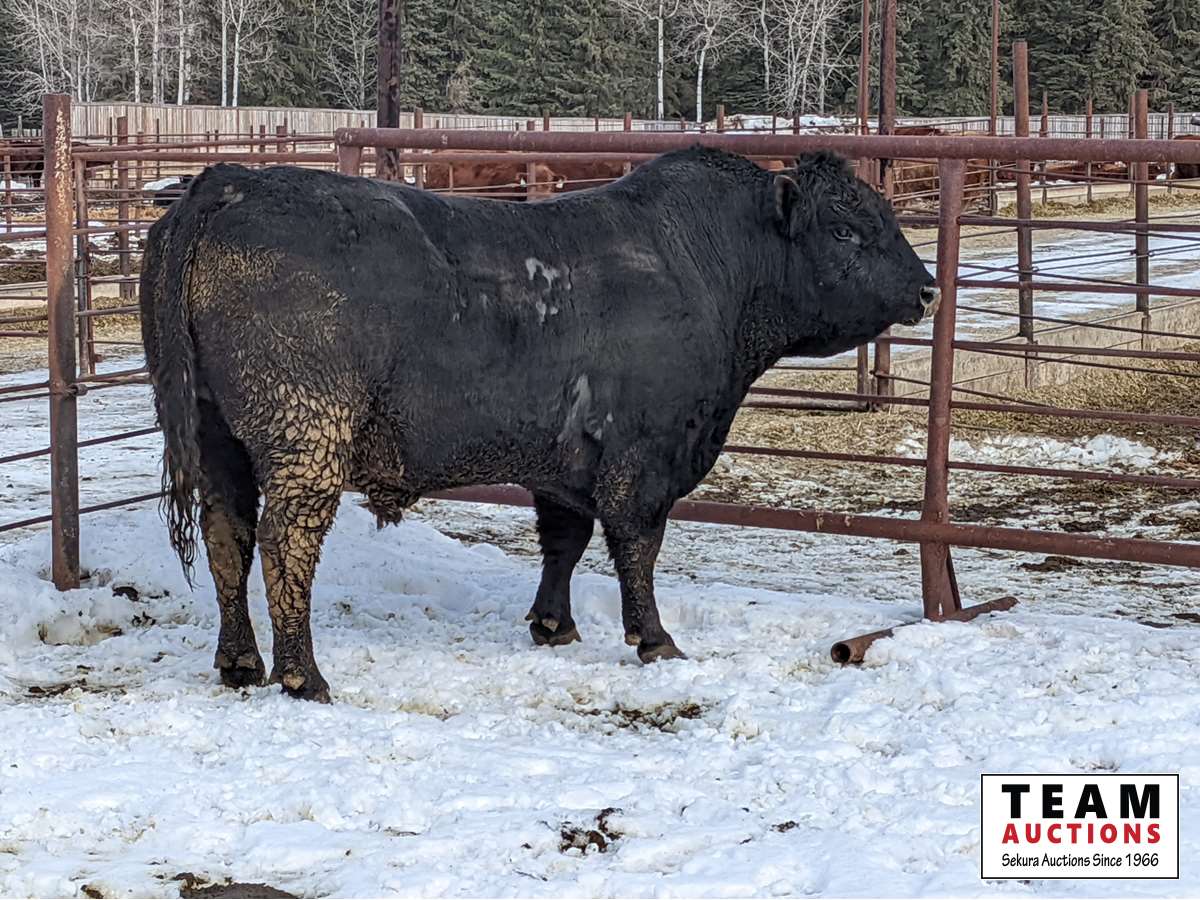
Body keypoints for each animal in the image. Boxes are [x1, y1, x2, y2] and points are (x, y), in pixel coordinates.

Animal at [140, 148, 937, 702]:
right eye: (845, 229)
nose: (928, 286)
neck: (711, 267)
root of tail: (230, 182)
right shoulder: (643, 456)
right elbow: (637, 545)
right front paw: (656, 640)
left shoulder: (564, 459)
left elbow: (565, 538)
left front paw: (554, 625)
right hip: (306, 434)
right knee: (286, 542)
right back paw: (303, 674)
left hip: (218, 438)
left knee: (228, 535)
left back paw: (240, 662)